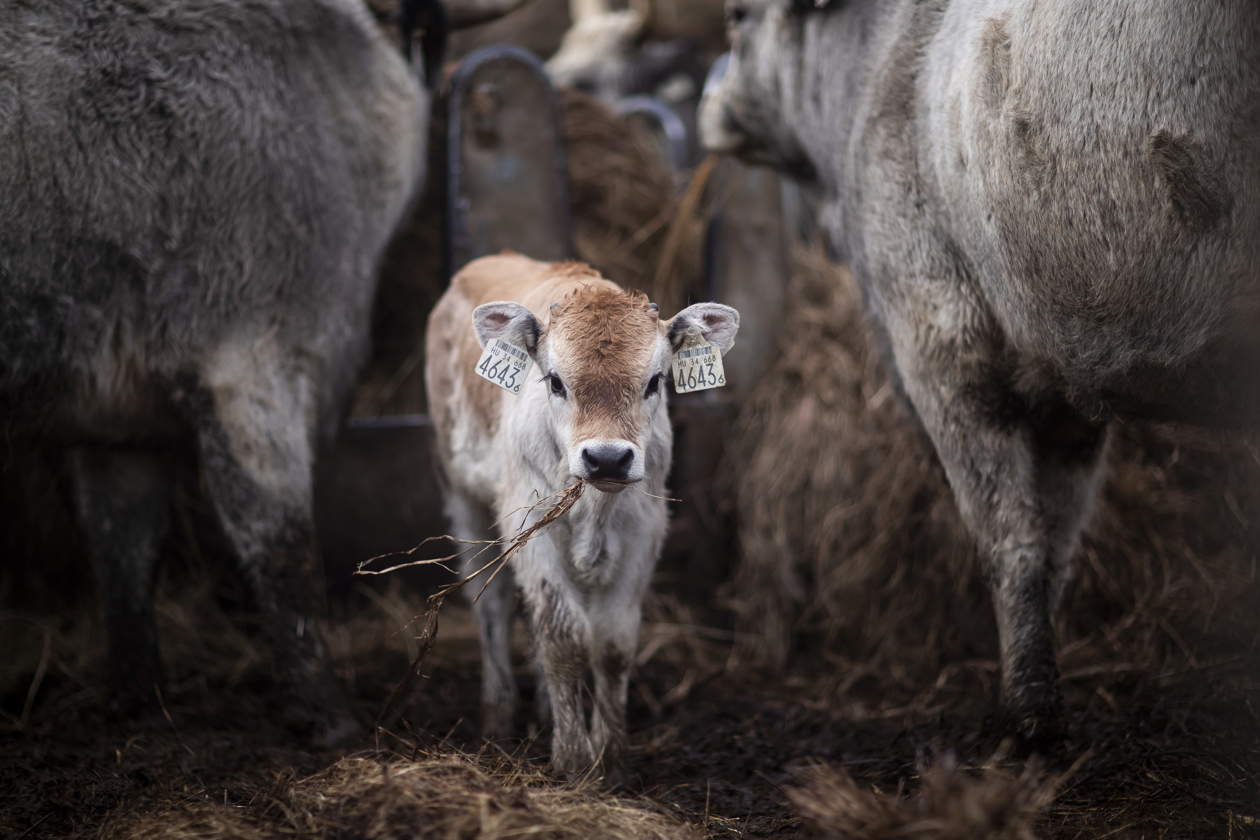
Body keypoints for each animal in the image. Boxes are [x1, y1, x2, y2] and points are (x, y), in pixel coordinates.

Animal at [0, 0, 463, 740]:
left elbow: (123, 545)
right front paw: (329, 716)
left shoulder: (117, 418)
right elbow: (279, 540)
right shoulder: (250, 364)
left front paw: (135, 702)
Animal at [425, 251, 735, 780]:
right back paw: (499, 714)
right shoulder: (529, 527)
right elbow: (563, 638)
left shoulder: (642, 532)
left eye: (655, 380)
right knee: (491, 605)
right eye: (555, 380)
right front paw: (572, 760)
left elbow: (611, 645)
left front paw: (610, 761)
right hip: (460, 491)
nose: (607, 458)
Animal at [705, 0, 1260, 740]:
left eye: (739, 16)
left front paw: (1032, 713)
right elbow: (1057, 541)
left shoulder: (940, 337)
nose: (709, 103)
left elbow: (1009, 539)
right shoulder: (1066, 380)